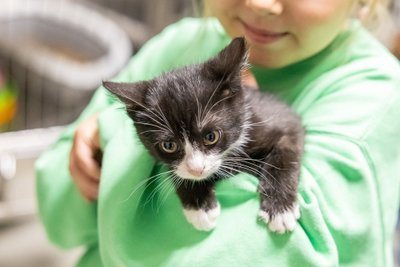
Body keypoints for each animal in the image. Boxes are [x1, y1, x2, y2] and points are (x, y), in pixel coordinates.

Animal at [103, 38, 304, 234]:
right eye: (169, 145)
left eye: (210, 136)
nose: (196, 169)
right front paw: (199, 207)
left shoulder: (284, 119)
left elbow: (284, 155)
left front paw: (280, 209)